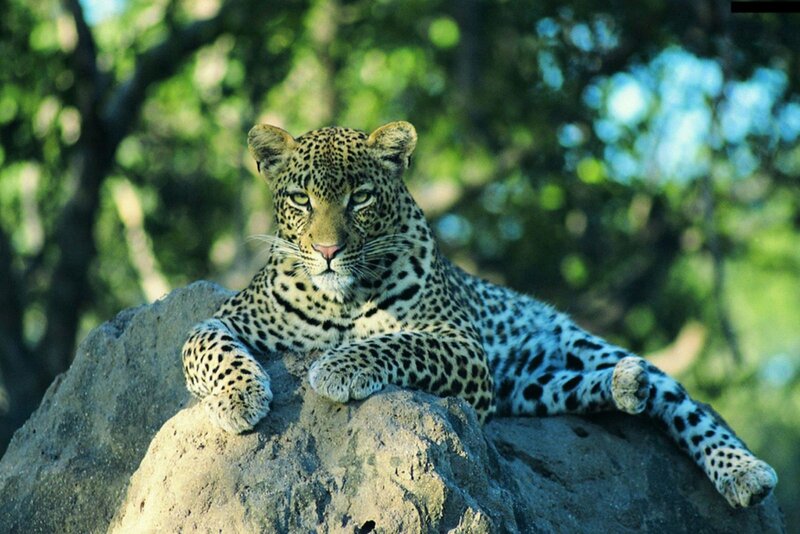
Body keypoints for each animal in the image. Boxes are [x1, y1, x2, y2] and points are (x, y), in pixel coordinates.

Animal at [181, 121, 777, 509]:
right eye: (301, 199)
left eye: (361, 198)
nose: (328, 250)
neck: (340, 298)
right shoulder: (226, 317)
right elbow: (208, 347)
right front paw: (239, 398)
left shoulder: (460, 342)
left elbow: (395, 341)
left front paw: (337, 367)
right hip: (527, 388)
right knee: (580, 389)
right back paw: (624, 386)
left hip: (580, 344)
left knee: (686, 405)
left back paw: (742, 470)